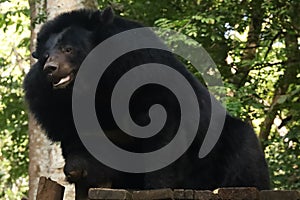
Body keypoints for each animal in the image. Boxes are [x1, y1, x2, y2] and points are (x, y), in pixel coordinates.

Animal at [24, 7, 270, 200]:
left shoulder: (145, 77)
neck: (92, 85)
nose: (51, 69)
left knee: (244, 152)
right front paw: (78, 170)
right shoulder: (56, 108)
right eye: (46, 56)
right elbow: (80, 141)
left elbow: (162, 136)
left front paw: (155, 186)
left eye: (68, 49)